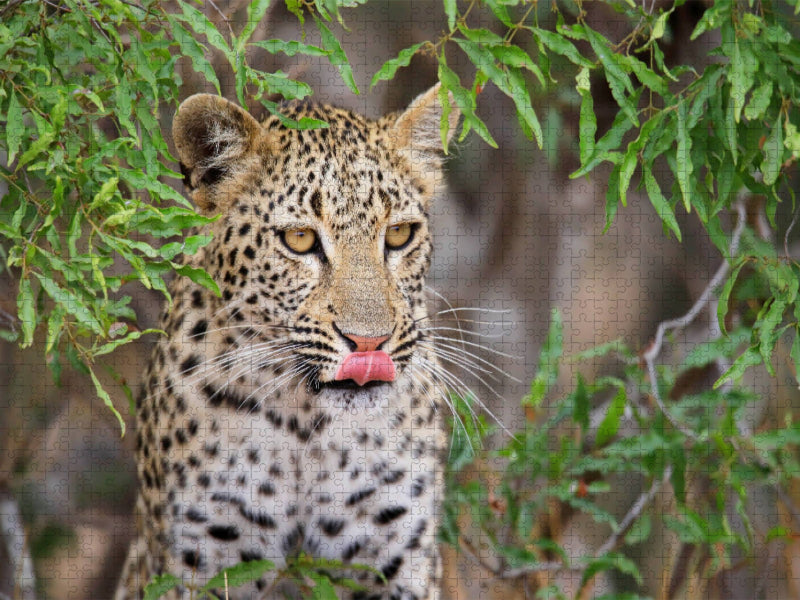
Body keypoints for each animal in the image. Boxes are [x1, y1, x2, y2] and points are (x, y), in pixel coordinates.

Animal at [114, 84, 463, 600]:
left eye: (399, 234)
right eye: (299, 239)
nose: (369, 343)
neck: (307, 431)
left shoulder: (399, 556)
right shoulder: (199, 561)